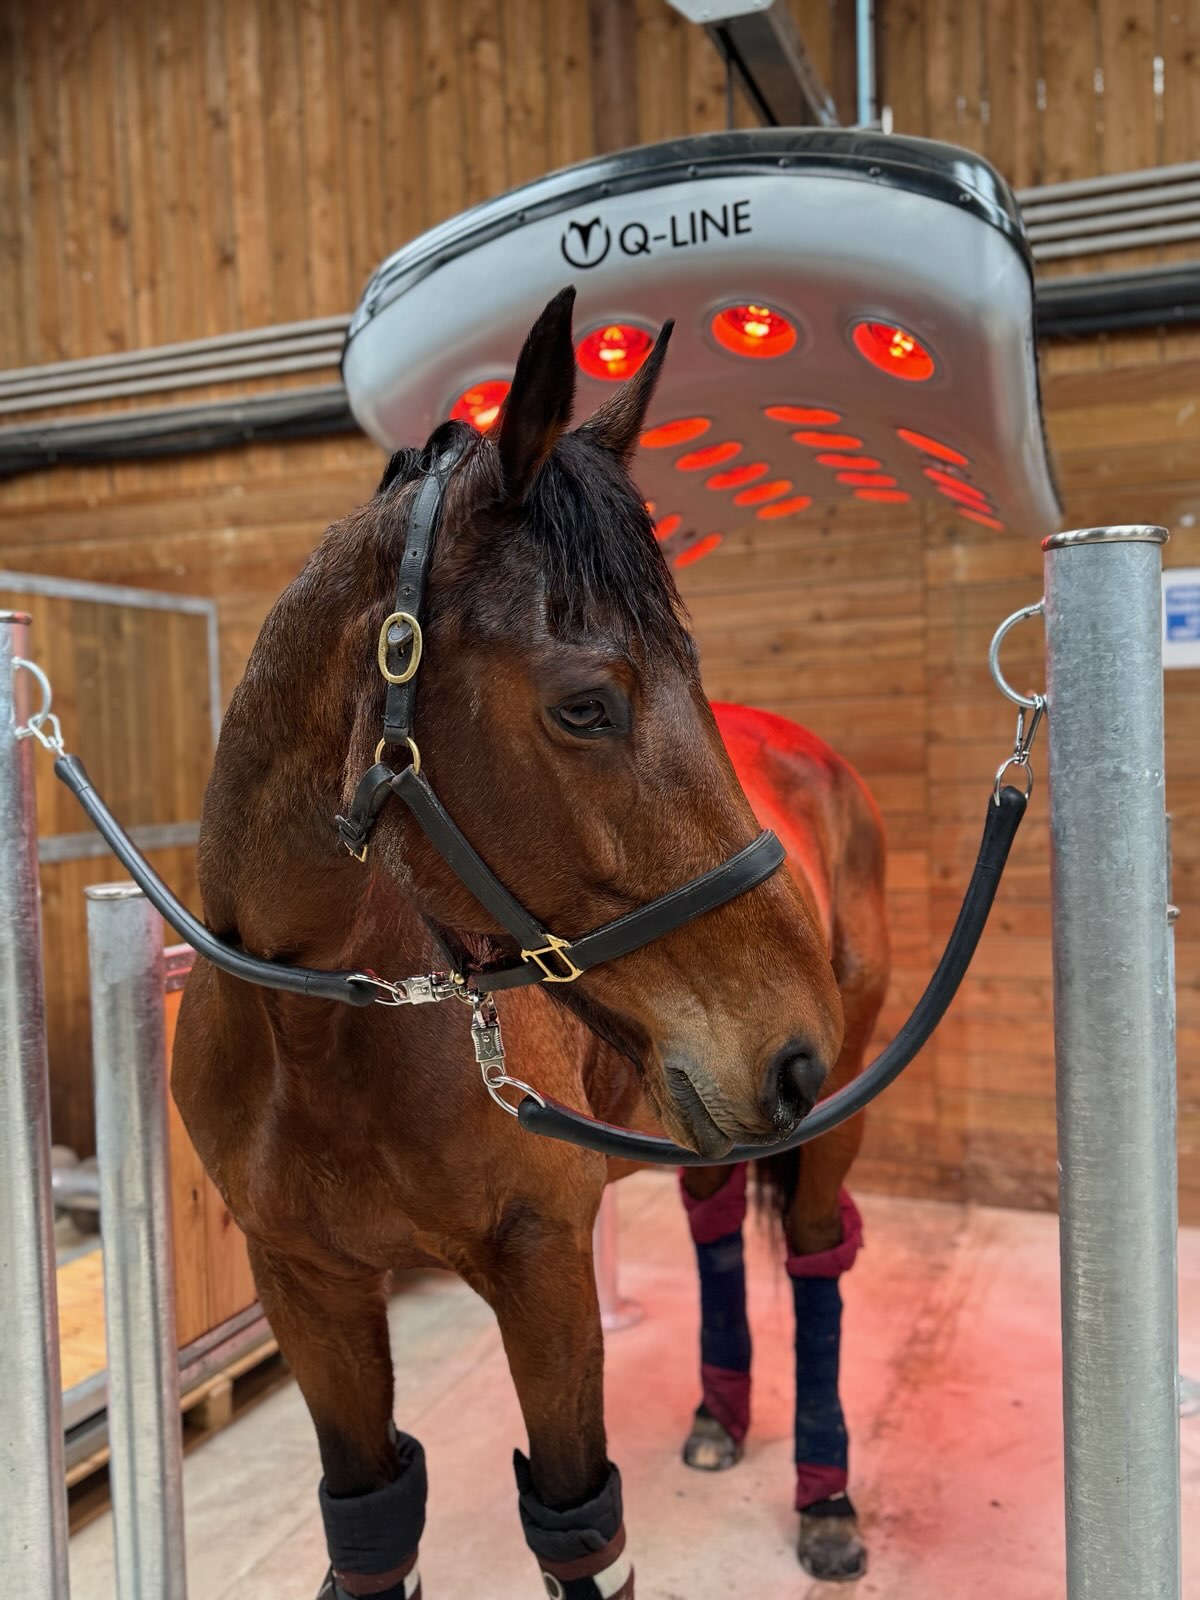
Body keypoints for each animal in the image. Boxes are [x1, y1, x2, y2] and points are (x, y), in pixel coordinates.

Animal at [173, 286, 864, 1600]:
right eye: (585, 704)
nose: (794, 1048)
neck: (317, 1024)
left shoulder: (544, 1264)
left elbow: (579, 1531)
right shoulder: (305, 1286)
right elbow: (372, 1529)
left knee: (814, 1258)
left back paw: (826, 1494)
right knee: (714, 1223)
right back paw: (718, 1414)